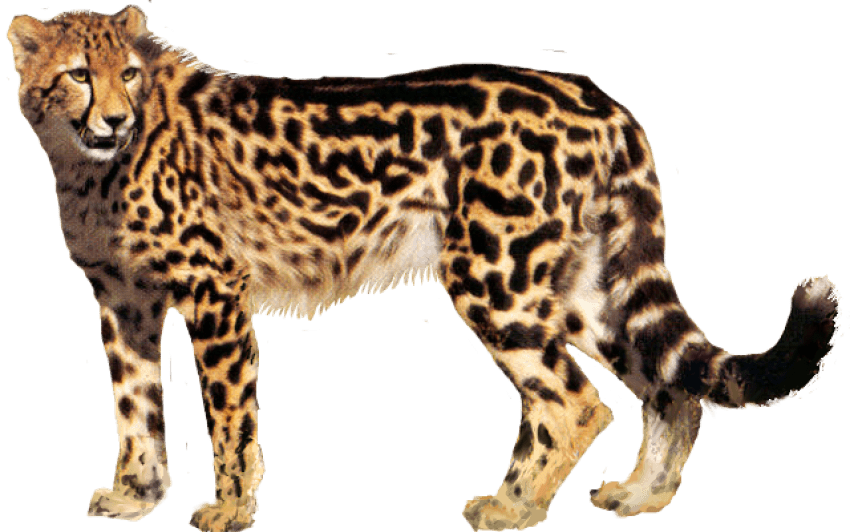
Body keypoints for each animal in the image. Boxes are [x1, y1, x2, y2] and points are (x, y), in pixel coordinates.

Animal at [7, 5, 841, 532]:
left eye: (129, 75)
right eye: (79, 74)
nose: (115, 118)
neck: (87, 160)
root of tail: (592, 93)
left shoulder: (215, 289)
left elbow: (229, 415)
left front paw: (230, 510)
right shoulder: (124, 299)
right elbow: (135, 405)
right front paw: (136, 494)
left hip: (495, 277)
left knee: (572, 403)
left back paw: (514, 508)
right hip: (580, 285)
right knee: (667, 388)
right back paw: (639, 497)